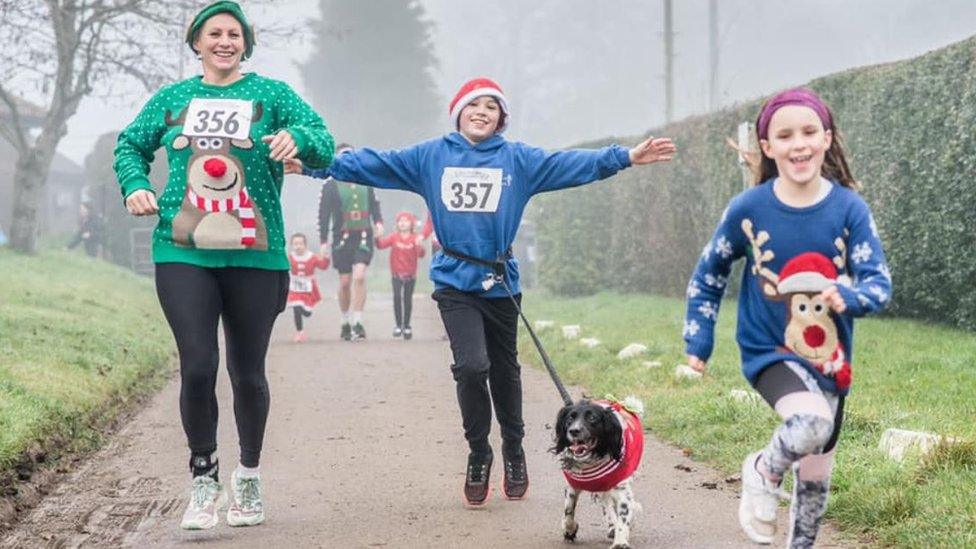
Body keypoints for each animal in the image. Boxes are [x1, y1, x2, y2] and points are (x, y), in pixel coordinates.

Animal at [552, 398, 644, 548]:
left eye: (592, 418)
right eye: (570, 419)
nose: (574, 431)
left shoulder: (620, 487)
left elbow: (623, 513)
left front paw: (620, 542)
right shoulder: (573, 485)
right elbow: (569, 511)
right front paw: (569, 530)